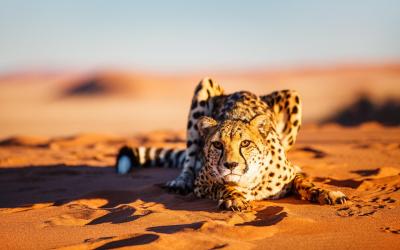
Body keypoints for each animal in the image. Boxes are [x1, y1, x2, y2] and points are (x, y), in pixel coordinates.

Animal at [115, 78, 346, 211]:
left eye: (245, 143)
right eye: (218, 145)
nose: (231, 165)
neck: (252, 178)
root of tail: (244, 90)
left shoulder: (288, 175)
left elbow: (303, 182)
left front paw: (328, 193)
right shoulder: (202, 185)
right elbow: (224, 185)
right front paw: (235, 197)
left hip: (292, 95)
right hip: (203, 88)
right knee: (189, 159)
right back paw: (181, 181)